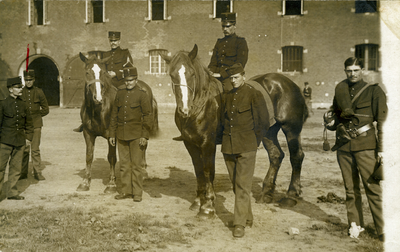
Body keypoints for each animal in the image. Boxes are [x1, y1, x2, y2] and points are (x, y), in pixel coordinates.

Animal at [76, 52, 159, 192]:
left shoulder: (111, 135)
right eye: (87, 72)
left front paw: (111, 183)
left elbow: (112, 157)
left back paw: (143, 171)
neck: (98, 109)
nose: (98, 98)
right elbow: (89, 156)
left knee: (143, 146)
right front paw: (85, 182)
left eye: (103, 72)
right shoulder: (88, 133)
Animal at [161, 44, 308, 219]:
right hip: (268, 132)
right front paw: (198, 201)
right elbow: (198, 171)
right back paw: (266, 193)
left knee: (296, 156)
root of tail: (288, 83)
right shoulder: (190, 144)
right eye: (172, 75)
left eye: (191, 74)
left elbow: (207, 171)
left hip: (291, 129)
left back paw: (290, 196)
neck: (201, 104)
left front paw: (207, 206)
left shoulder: (208, 143)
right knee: (276, 155)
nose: (184, 109)